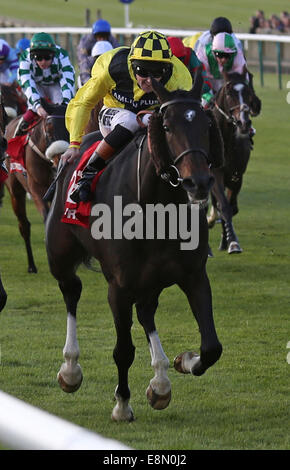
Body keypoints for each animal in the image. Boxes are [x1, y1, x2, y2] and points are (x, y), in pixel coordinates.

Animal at [4, 101, 69, 274]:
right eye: (49, 130)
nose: (61, 160)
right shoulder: (37, 189)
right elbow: (46, 217)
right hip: (15, 191)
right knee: (24, 226)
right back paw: (31, 265)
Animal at [45, 70, 223, 422]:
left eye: (206, 125)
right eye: (167, 127)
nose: (198, 182)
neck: (157, 208)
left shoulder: (194, 275)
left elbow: (211, 347)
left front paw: (184, 361)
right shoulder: (119, 286)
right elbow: (123, 350)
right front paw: (122, 405)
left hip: (150, 280)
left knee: (146, 311)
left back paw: (161, 381)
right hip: (59, 256)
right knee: (71, 291)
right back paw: (70, 369)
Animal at [207, 67, 262, 253]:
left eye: (249, 93)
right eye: (229, 92)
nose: (244, 123)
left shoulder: (236, 174)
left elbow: (231, 207)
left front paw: (228, 240)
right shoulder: (215, 172)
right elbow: (223, 205)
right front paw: (231, 241)